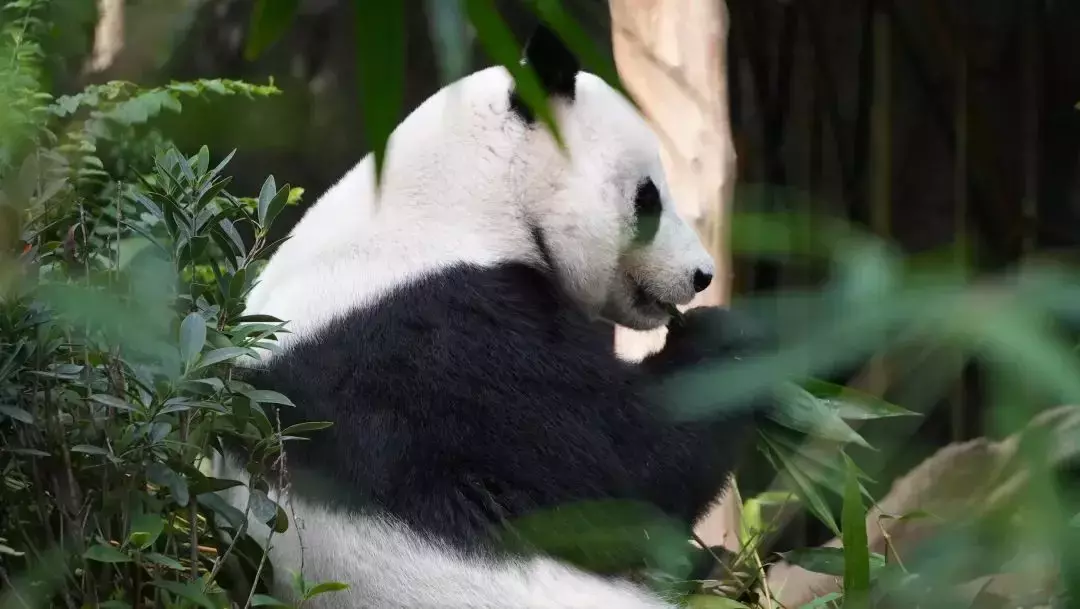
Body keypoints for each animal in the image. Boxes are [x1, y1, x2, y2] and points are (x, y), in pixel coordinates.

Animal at [217, 23, 777, 609]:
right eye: (648, 199)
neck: (460, 198)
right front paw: (728, 338)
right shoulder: (440, 338)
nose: (702, 275)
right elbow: (617, 467)